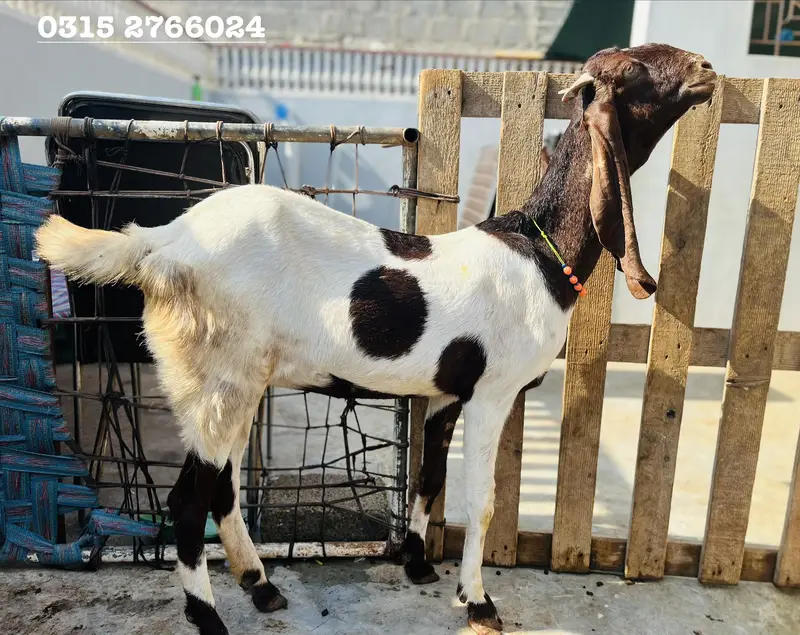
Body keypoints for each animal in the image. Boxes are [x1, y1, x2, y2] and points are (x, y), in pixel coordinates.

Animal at [36, 43, 716, 635]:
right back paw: (209, 617)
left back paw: (260, 584)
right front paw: (477, 601)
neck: (537, 250)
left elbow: (431, 477)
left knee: (222, 486)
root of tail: (161, 245)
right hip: (217, 378)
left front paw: (417, 563)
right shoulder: (494, 391)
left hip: (228, 381)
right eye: (635, 70)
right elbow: (482, 499)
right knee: (187, 500)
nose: (707, 71)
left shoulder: (445, 393)